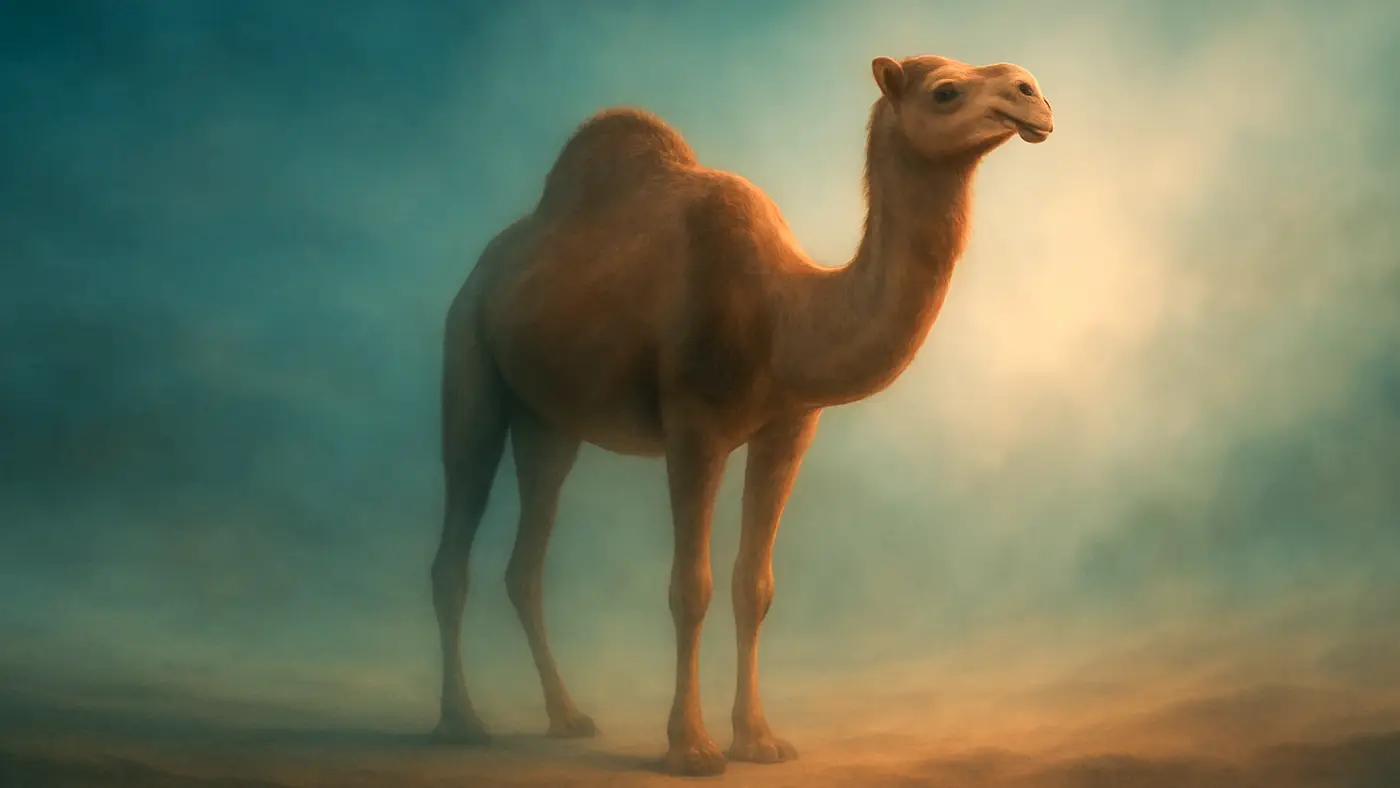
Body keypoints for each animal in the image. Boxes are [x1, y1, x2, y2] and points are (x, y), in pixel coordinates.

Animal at [430, 54, 1053, 776]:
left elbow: (752, 586)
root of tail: (487, 264)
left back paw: (567, 717)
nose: (1032, 95)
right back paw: (460, 722)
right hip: (469, 351)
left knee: (525, 563)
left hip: (549, 419)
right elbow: (690, 587)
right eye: (945, 90)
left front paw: (758, 740)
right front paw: (691, 747)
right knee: (457, 534)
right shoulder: (693, 426)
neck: (784, 313)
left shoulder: (789, 427)